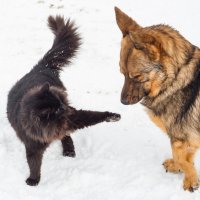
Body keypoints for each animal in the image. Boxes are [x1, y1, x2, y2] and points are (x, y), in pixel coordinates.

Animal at [7, 15, 120, 186]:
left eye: (61, 103)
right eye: (58, 109)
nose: (67, 108)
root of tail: (41, 67)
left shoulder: (73, 118)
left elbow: (94, 115)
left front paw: (112, 116)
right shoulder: (32, 144)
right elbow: (34, 164)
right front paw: (34, 179)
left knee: (67, 136)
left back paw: (69, 151)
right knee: (66, 135)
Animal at [115, 7, 200, 192]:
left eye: (136, 76)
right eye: (122, 73)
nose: (122, 102)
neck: (175, 77)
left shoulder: (180, 136)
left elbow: (181, 156)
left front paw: (190, 179)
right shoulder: (187, 137)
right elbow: (183, 156)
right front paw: (181, 168)